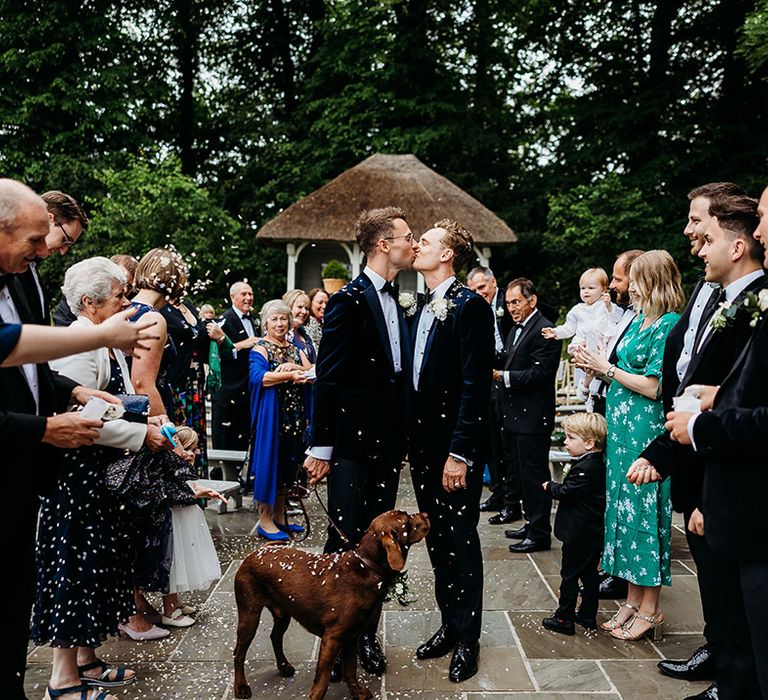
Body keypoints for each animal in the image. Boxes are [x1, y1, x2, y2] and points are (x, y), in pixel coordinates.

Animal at [231, 508, 428, 700]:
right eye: (407, 521)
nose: (426, 514)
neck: (367, 568)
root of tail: (256, 552)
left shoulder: (351, 637)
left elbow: (350, 671)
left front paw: (357, 693)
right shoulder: (332, 638)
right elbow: (322, 683)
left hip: (282, 614)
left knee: (275, 637)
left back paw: (284, 666)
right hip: (249, 615)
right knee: (239, 653)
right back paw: (241, 687)